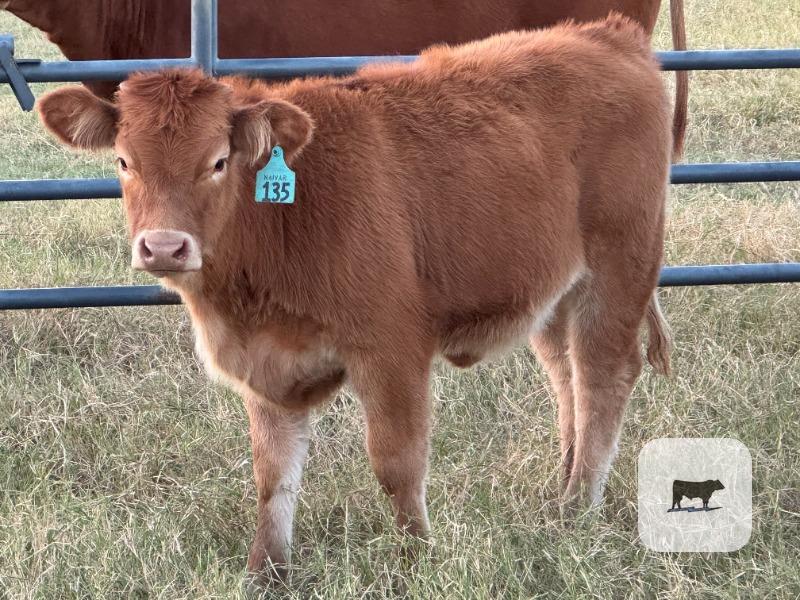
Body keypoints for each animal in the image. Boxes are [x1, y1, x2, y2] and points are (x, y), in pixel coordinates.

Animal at [37, 15, 672, 582]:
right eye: (124, 161)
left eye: (217, 161)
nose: (165, 247)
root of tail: (607, 35)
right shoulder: (265, 365)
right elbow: (274, 474)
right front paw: (266, 571)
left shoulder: (390, 352)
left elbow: (397, 465)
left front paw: (415, 560)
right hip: (552, 292)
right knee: (567, 378)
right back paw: (559, 488)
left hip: (617, 267)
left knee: (603, 375)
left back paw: (577, 506)